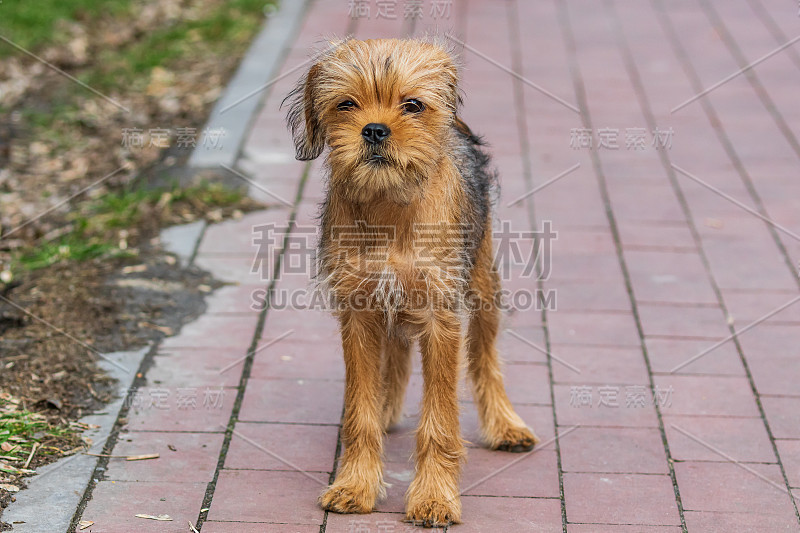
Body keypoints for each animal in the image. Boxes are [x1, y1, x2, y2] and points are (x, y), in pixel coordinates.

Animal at [284, 38, 540, 528]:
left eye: (413, 105)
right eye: (346, 104)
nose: (374, 130)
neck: (389, 208)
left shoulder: (440, 318)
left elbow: (439, 421)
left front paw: (435, 498)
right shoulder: (359, 311)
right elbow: (360, 413)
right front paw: (356, 484)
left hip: (483, 287)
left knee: (485, 358)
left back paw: (505, 425)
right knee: (396, 353)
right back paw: (387, 405)